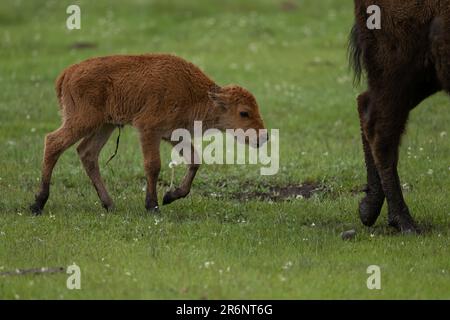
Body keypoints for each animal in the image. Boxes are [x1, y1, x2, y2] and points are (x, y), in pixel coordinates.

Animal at [29, 54, 268, 215]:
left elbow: (195, 160)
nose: (263, 137)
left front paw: (170, 196)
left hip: (105, 125)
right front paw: (153, 206)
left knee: (87, 153)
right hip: (83, 121)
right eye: (244, 112)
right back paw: (38, 204)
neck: (195, 92)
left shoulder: (173, 134)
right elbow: (153, 165)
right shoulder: (148, 130)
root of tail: (67, 73)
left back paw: (109, 204)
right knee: (53, 143)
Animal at [348, 1, 446, 234]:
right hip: (399, 68)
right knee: (381, 130)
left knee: (366, 105)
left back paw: (368, 208)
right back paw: (404, 222)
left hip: (424, 75)